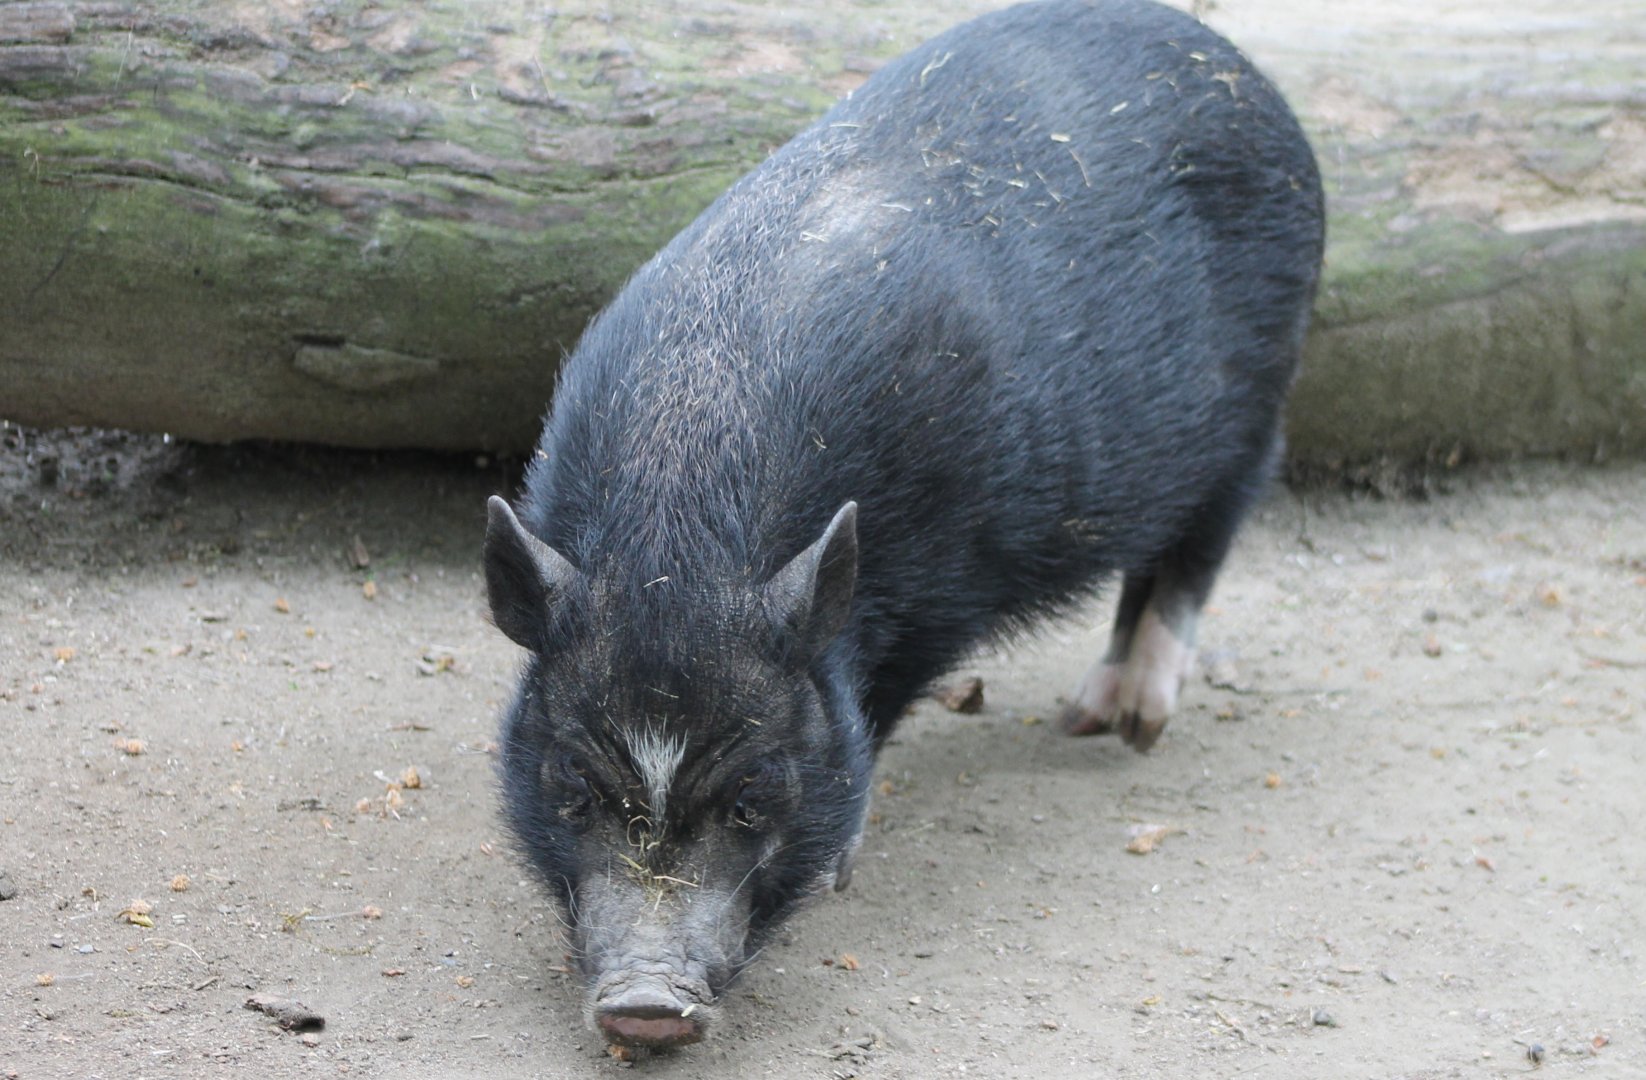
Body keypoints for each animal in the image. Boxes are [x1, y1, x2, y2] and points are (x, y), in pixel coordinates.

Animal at [484, 0, 1323, 1050]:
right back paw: (1084, 719)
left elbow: (881, 707)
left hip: (1261, 404)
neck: (677, 542)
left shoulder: (938, 591)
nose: (644, 1005)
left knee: (1194, 552)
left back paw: (1128, 724)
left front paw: (844, 872)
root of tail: (1240, 67)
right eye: (571, 786)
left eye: (755, 798)